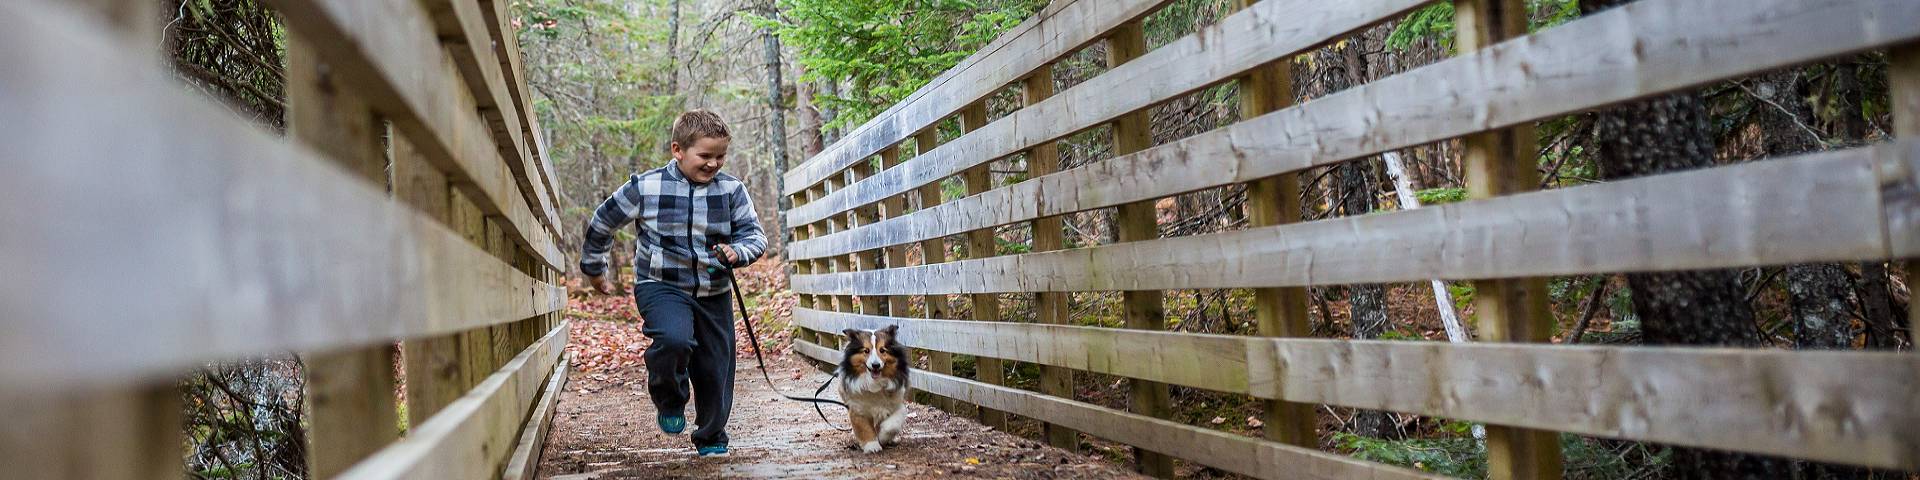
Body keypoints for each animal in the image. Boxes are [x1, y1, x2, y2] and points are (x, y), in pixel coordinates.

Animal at [837, 322, 910, 453]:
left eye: (882, 350)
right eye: (866, 350)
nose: (875, 365)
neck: (875, 383)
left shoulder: (897, 404)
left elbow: (893, 424)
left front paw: (882, 437)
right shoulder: (857, 408)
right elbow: (864, 427)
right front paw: (872, 446)